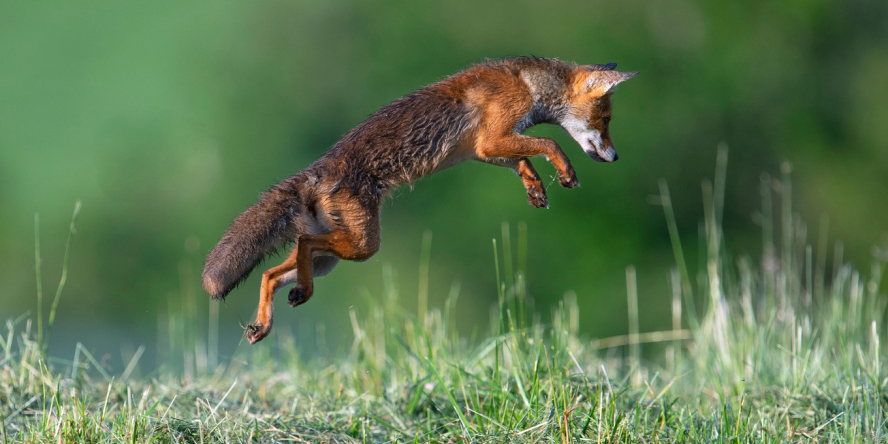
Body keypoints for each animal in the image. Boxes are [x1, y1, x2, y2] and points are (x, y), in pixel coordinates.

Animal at [202, 57, 637, 344]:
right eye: (605, 121)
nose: (616, 157)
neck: (527, 84)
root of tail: (316, 171)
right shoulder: (491, 138)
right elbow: (549, 143)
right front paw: (565, 172)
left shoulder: (483, 149)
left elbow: (524, 160)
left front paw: (535, 188)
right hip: (363, 246)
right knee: (302, 246)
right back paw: (298, 295)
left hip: (334, 257)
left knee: (272, 272)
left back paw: (268, 321)